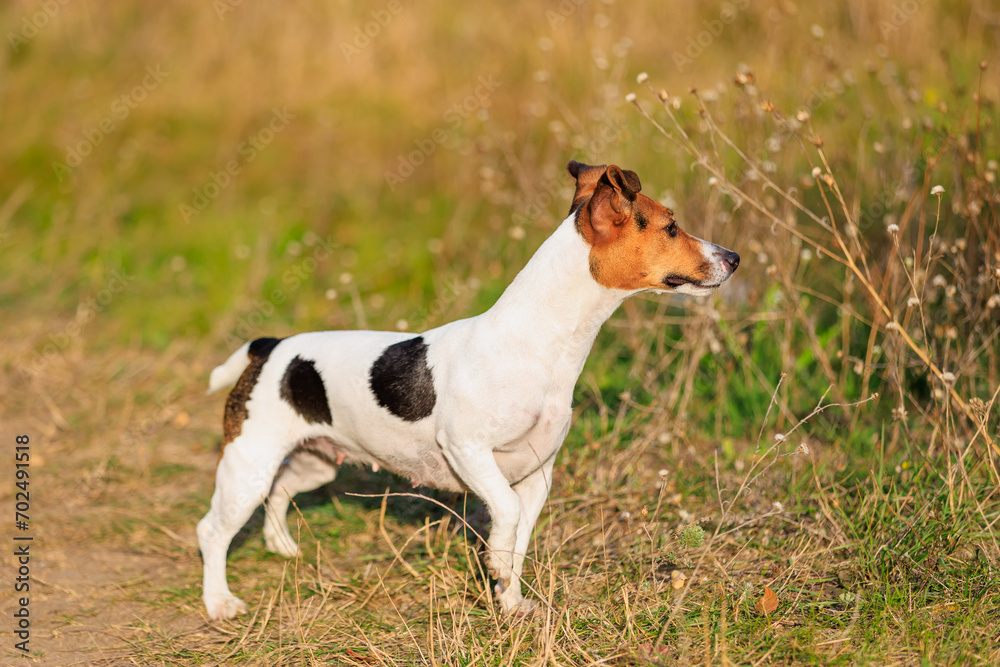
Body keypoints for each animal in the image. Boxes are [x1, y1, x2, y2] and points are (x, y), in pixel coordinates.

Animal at [199, 160, 740, 620]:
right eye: (671, 227)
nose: (734, 257)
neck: (538, 342)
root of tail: (270, 348)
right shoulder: (469, 450)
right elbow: (504, 516)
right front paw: (496, 565)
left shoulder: (537, 476)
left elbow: (519, 542)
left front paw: (511, 602)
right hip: (247, 465)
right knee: (214, 530)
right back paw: (220, 602)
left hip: (315, 461)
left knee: (279, 491)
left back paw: (282, 547)